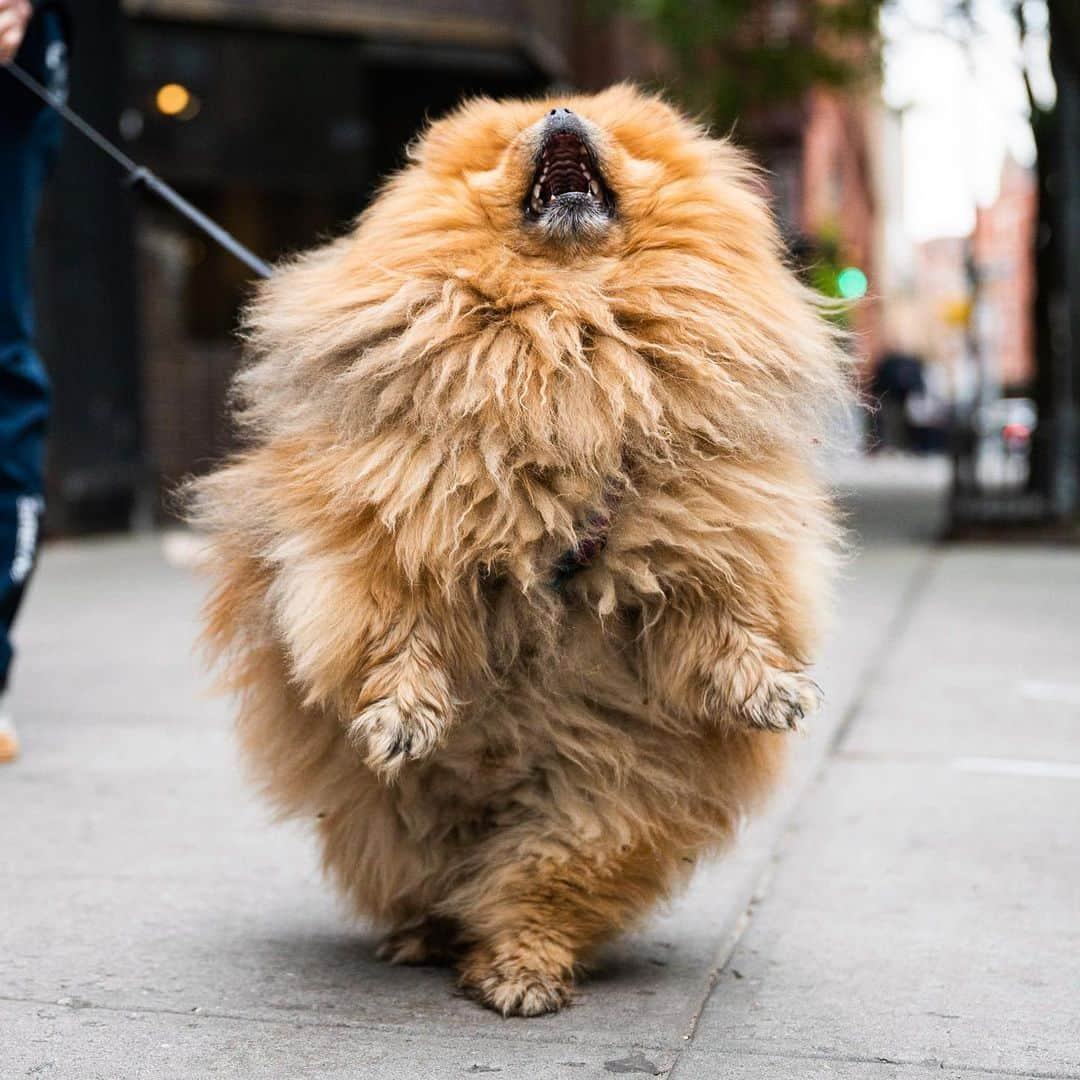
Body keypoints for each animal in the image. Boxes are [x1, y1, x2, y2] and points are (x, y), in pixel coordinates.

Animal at [194, 82, 851, 1010]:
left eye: (610, 130)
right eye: (508, 137)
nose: (562, 112)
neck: (569, 322)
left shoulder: (703, 533)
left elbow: (728, 615)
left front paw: (768, 690)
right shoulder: (385, 533)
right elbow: (396, 627)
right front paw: (402, 713)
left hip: (601, 801)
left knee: (534, 881)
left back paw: (520, 966)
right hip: (398, 823)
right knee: (433, 883)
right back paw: (430, 937)